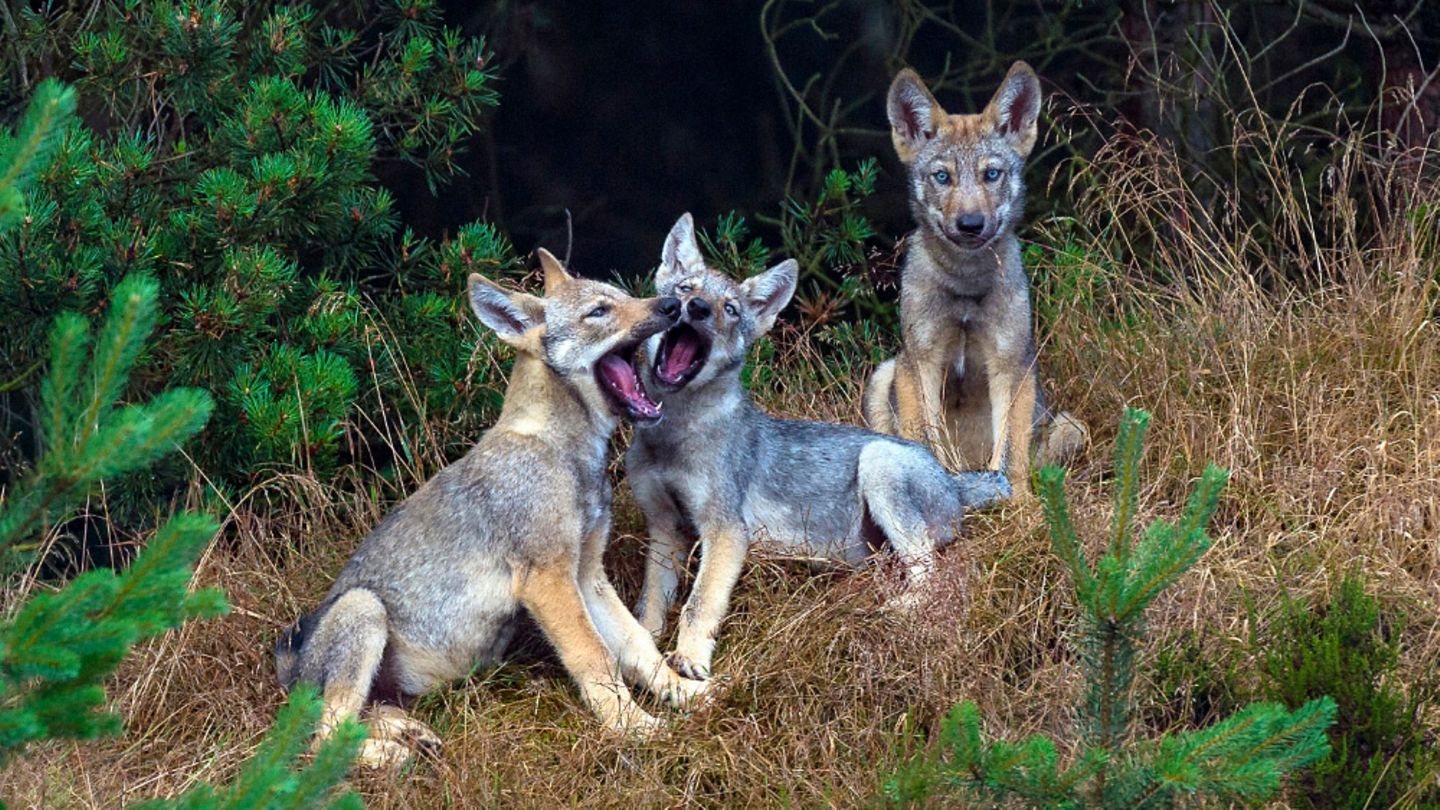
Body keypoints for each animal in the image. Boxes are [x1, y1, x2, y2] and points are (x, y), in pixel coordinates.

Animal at [274, 250, 709, 768]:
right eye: (599, 311)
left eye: (624, 296)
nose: (672, 304)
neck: (563, 453)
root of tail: (290, 670)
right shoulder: (549, 580)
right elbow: (596, 657)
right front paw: (634, 728)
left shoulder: (587, 575)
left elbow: (638, 644)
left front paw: (683, 692)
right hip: (363, 609)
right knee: (320, 743)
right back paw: (394, 756)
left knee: (360, 719)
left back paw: (412, 734)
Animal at [623, 214, 1012, 680]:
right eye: (685, 289)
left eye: (730, 309)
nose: (696, 308)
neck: (673, 436)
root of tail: (954, 485)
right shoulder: (664, 528)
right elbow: (649, 608)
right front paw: (643, 652)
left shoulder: (725, 531)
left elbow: (698, 606)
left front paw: (689, 660)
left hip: (878, 464)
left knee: (930, 575)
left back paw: (893, 610)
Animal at [861, 61, 1087, 496]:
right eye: (942, 177)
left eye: (991, 174)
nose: (970, 224)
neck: (965, 284)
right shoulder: (921, 362)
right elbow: (922, 435)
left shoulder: (1011, 365)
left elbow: (1010, 453)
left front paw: (1017, 505)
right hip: (885, 375)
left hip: (1071, 426)